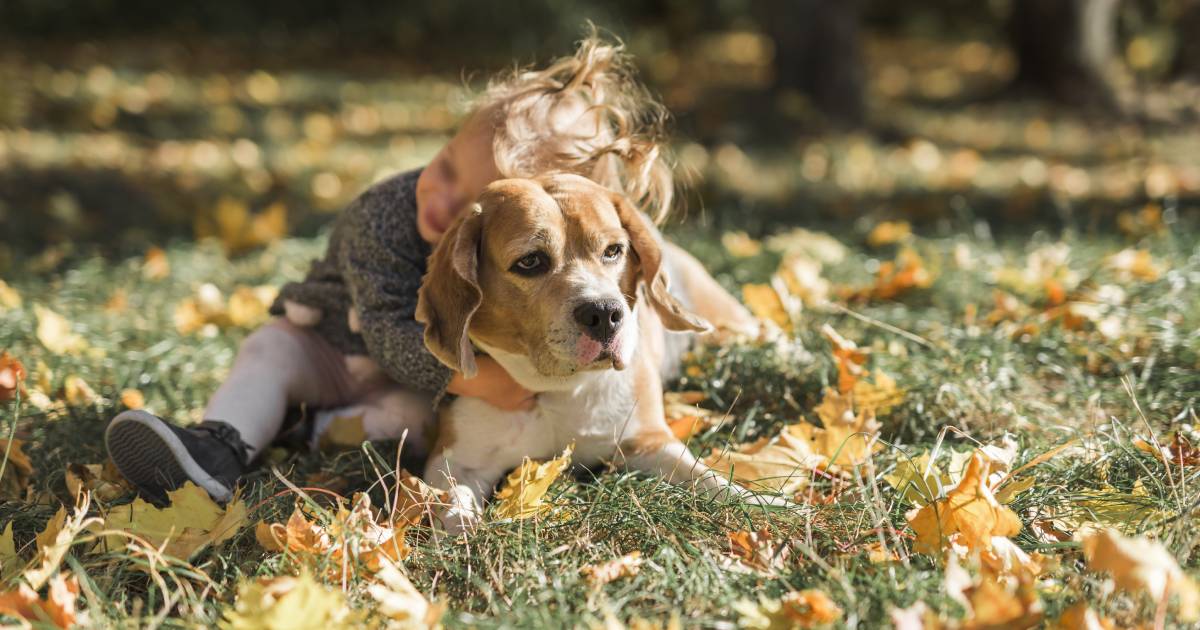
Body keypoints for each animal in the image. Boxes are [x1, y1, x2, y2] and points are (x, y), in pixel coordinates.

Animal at [417, 172, 782, 530]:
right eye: (530, 261)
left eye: (613, 250)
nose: (605, 313)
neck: (558, 389)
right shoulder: (453, 461)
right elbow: (453, 503)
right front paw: (462, 532)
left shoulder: (649, 442)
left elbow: (709, 480)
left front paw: (767, 504)